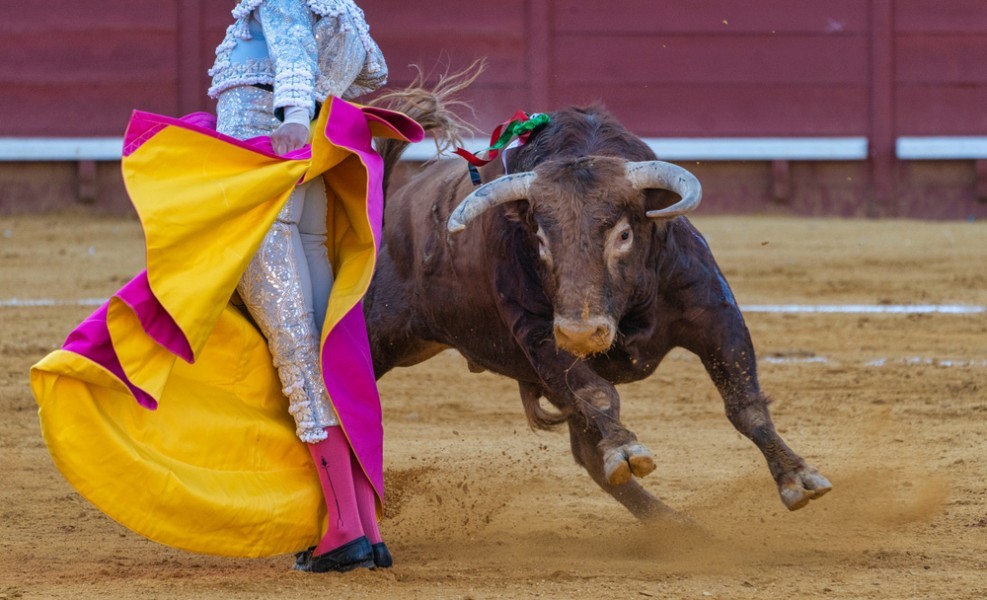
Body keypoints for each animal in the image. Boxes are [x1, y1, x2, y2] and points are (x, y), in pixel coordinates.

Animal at [366, 90, 828, 520]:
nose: (584, 334)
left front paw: (797, 477)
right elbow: (599, 394)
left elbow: (744, 401)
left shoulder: (714, 312)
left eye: (623, 235)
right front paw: (625, 450)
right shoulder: (540, 335)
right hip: (377, 335)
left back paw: (678, 528)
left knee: (587, 454)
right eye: (540, 240)